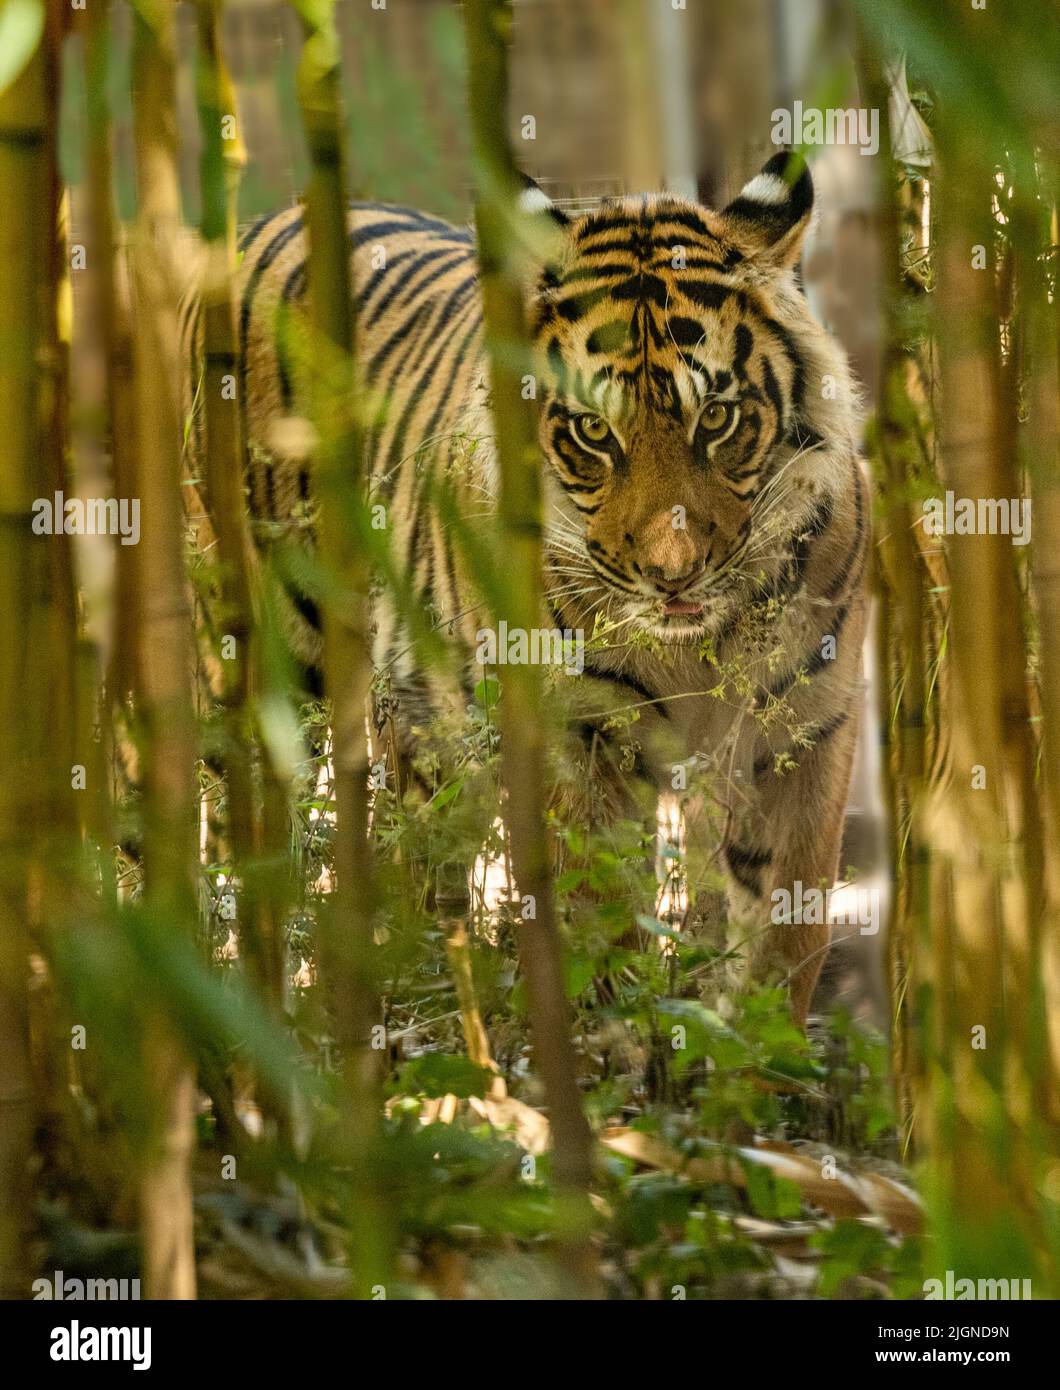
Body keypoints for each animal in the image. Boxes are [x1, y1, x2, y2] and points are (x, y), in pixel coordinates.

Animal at [187, 150, 869, 1028]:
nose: (673, 574)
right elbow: (600, 921)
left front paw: (756, 1045)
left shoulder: (803, 727)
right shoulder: (575, 736)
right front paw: (615, 1043)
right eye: (592, 431)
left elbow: (787, 932)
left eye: (716, 419)